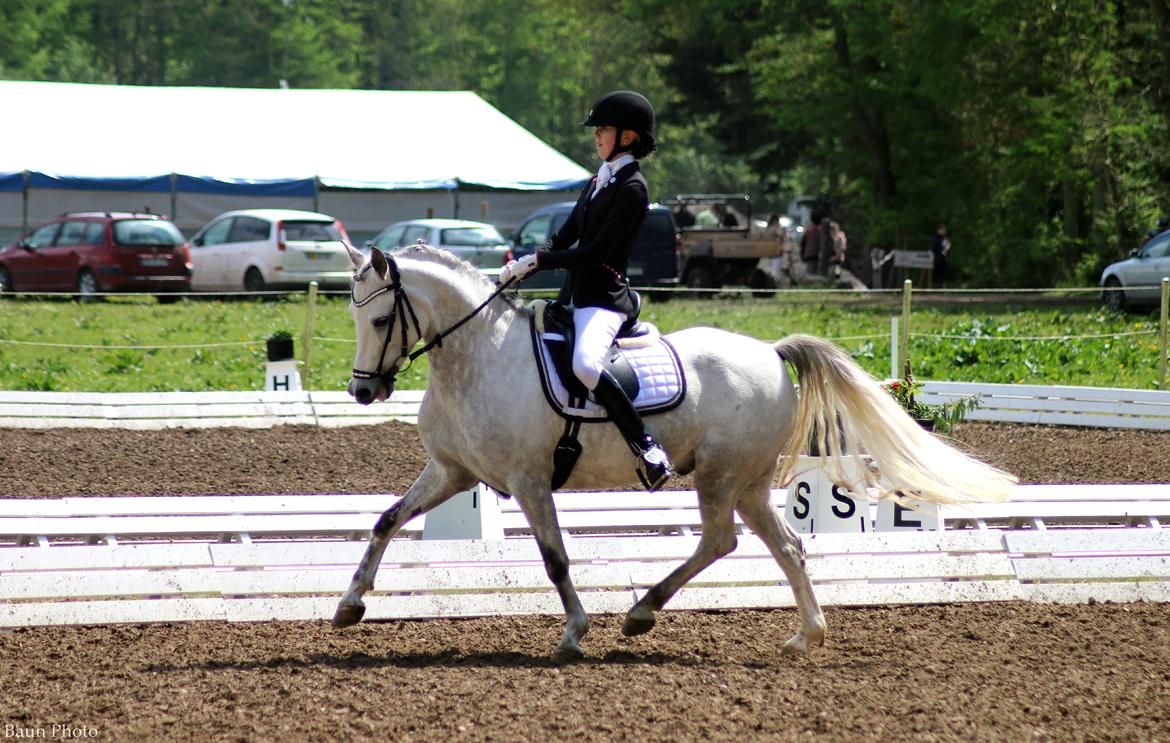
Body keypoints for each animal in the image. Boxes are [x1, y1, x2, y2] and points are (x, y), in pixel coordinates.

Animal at [333, 243, 1015, 661]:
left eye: (379, 321)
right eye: (355, 317)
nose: (363, 391)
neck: (477, 357)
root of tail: (771, 352)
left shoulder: (529, 481)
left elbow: (555, 560)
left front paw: (574, 634)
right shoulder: (453, 471)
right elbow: (386, 520)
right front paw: (349, 604)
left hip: (719, 476)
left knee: (720, 541)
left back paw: (643, 612)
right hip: (747, 483)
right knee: (784, 546)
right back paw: (802, 636)